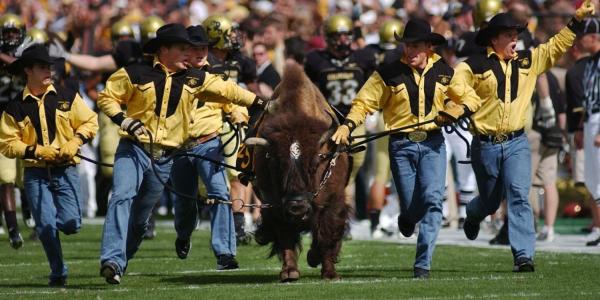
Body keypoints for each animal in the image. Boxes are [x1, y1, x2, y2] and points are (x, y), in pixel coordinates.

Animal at [245, 63, 350, 282]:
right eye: (276, 163)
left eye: (315, 162)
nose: (297, 208)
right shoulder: (274, 205)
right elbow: (285, 237)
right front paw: (289, 272)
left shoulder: (333, 201)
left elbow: (326, 234)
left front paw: (330, 273)